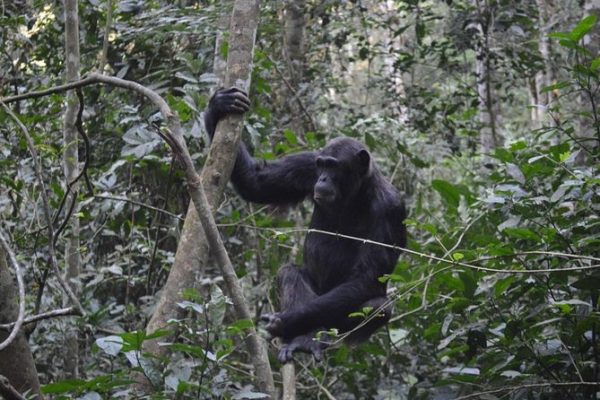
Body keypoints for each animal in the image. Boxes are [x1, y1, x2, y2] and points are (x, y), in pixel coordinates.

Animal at [204, 86, 406, 362]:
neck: (354, 193)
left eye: (333, 166)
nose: (323, 179)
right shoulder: (307, 166)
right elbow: (258, 182)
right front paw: (219, 105)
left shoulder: (390, 209)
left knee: (378, 306)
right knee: (290, 272)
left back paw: (309, 336)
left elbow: (367, 277)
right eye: (322, 164)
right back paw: (303, 338)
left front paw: (286, 321)